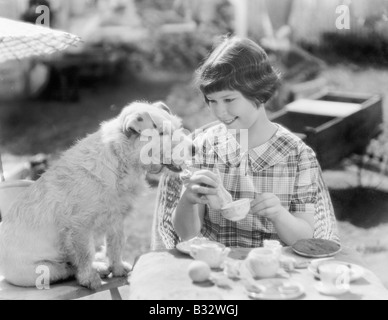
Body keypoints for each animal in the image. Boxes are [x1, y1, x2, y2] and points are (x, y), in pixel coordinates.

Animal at [0, 100, 189, 290]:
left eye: (177, 127)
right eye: (162, 133)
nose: (192, 148)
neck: (119, 159)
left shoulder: (116, 220)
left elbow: (115, 245)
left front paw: (118, 268)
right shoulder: (79, 226)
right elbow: (85, 255)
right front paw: (90, 278)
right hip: (44, 269)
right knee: (67, 268)